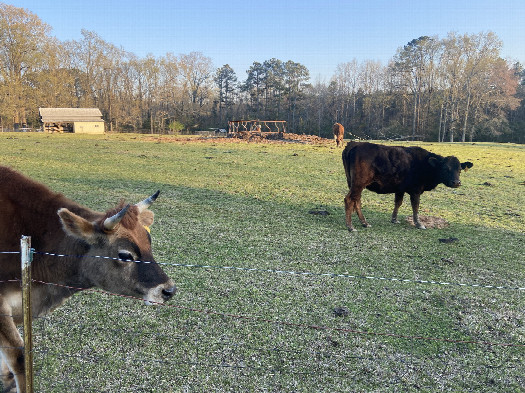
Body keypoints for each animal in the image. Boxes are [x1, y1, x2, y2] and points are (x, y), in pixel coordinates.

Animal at [342, 142, 472, 231]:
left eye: (460, 169)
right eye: (446, 169)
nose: (456, 182)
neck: (426, 164)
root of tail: (355, 144)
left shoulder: (400, 189)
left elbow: (398, 203)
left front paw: (394, 219)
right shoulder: (415, 191)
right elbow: (415, 207)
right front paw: (419, 224)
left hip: (356, 185)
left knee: (356, 200)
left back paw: (364, 223)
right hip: (358, 184)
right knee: (349, 199)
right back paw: (350, 226)